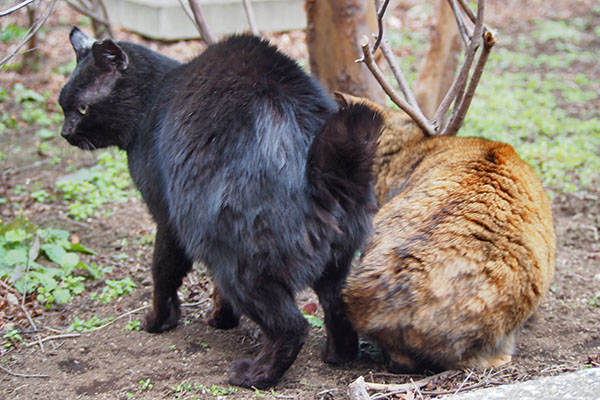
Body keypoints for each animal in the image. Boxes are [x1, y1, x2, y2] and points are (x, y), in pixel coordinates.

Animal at [58, 27, 382, 388]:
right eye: (62, 106)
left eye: (81, 109)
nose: (65, 132)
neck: (152, 99)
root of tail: (318, 166)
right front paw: (221, 318)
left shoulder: (168, 220)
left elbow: (162, 272)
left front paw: (159, 320)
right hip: (335, 261)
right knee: (337, 305)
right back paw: (337, 355)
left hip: (239, 263)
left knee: (291, 327)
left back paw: (255, 375)